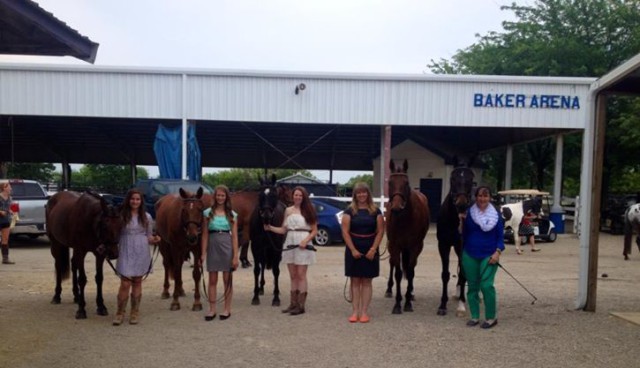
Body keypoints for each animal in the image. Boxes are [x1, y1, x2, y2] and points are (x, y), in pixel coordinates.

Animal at [248, 174, 284, 306]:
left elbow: (276, 270)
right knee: (263, 264)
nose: (266, 215)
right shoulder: (256, 247)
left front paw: (276, 298)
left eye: (274, 195)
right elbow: (257, 270)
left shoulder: (276, 248)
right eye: (260, 195)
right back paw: (261, 288)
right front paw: (255, 296)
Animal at [384, 159, 430, 314]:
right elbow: (398, 273)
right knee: (392, 263)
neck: (404, 218)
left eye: (406, 183)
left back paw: (411, 293)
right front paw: (398, 304)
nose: (397, 208)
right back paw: (389, 290)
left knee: (412, 268)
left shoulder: (415, 246)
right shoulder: (394, 245)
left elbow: (410, 272)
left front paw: (408, 302)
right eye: (390, 183)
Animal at [436, 166, 476, 316]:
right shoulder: (443, 245)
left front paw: (461, 305)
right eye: (453, 179)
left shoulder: (462, 246)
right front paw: (443, 305)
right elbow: (445, 274)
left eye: (471, 178)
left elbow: (464, 273)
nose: (461, 204)